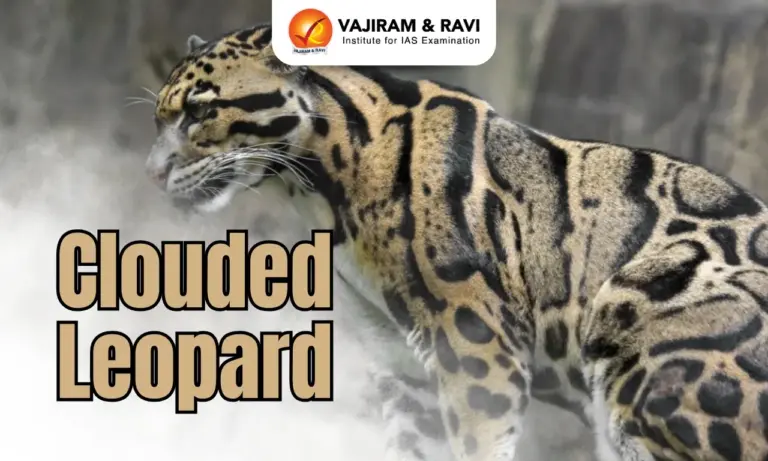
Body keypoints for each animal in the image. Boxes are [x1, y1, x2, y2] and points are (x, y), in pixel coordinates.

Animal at [143, 23, 768, 461]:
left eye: (200, 110)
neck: (319, 182)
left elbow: (478, 441)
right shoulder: (403, 363)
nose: (150, 173)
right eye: (160, 118)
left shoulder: (477, 347)